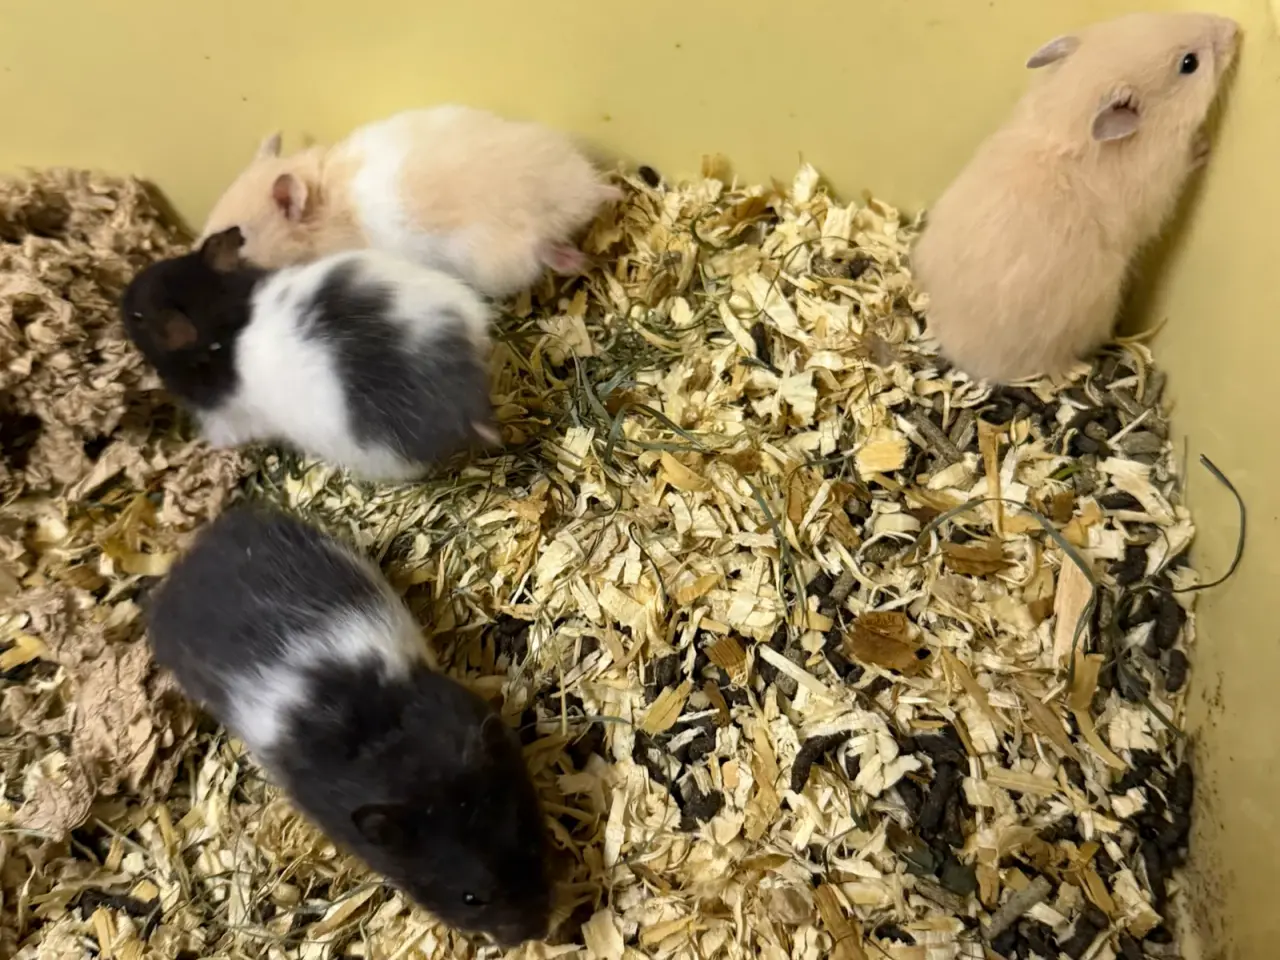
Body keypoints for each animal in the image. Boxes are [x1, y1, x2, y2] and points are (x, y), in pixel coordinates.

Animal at [910, 12, 1239, 384]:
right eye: (1189, 64)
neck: (1069, 119)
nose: (1234, 28)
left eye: (1143, 16)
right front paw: (1202, 145)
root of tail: (957, 352)